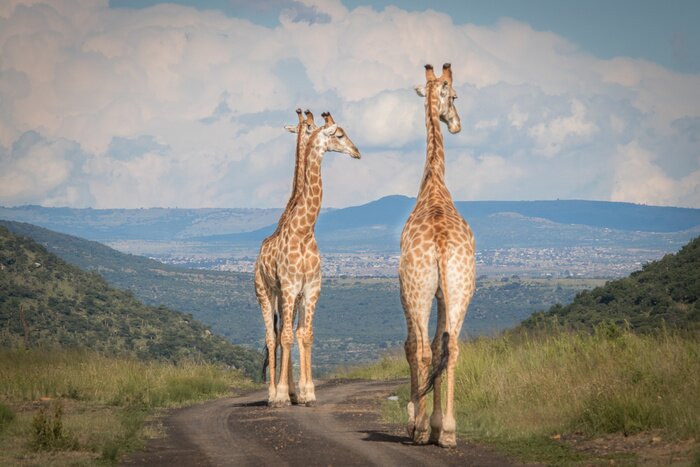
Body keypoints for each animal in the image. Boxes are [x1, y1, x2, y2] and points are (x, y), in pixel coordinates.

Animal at [255, 111, 361, 407]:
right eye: (339, 135)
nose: (357, 152)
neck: (304, 230)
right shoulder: (291, 288)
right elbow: (287, 337)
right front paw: (282, 395)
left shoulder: (311, 289)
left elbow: (306, 335)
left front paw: (307, 393)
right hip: (265, 292)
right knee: (272, 337)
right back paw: (272, 395)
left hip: (284, 297)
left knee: (284, 333)